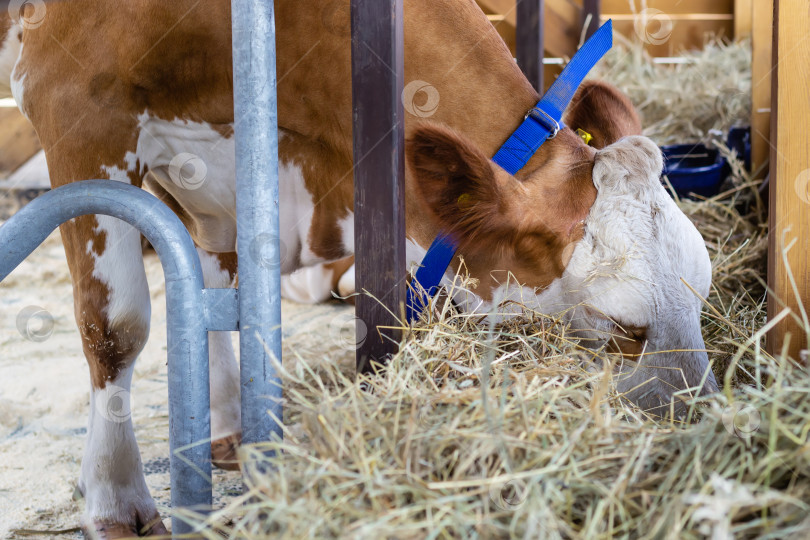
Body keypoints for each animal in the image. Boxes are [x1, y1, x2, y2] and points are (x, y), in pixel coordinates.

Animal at [3, 0, 716, 536]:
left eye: (703, 298)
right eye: (622, 327)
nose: (705, 429)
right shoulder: (75, 104)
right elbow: (117, 324)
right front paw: (115, 500)